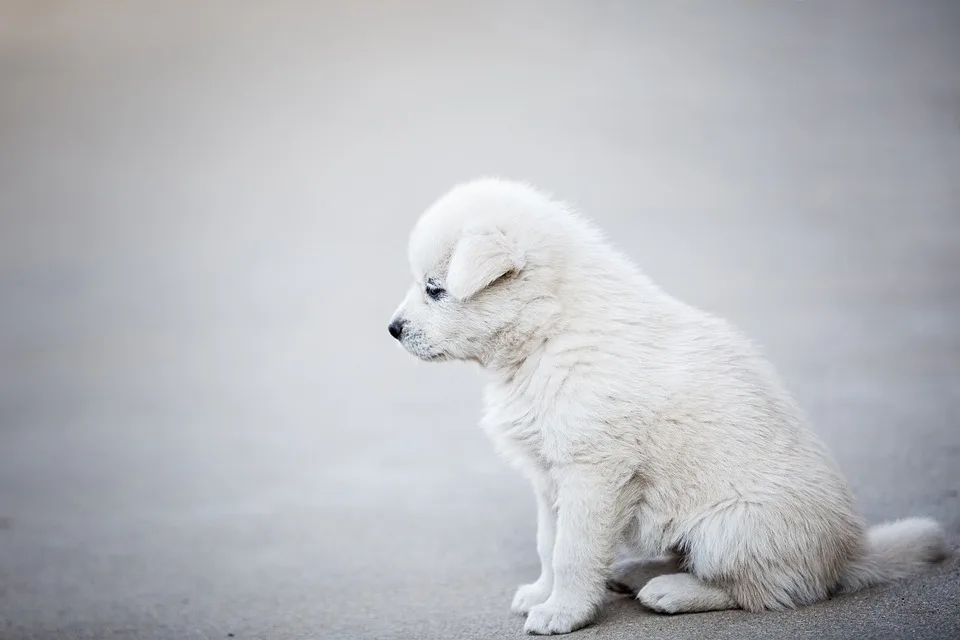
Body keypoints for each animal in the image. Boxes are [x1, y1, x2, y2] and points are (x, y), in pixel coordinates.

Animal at [384, 179, 944, 636]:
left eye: (435, 289)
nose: (392, 329)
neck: (549, 333)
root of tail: (849, 556)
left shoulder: (593, 472)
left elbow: (573, 551)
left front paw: (562, 612)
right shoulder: (549, 475)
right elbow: (548, 541)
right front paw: (542, 594)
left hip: (730, 527)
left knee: (764, 591)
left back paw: (671, 592)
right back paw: (636, 572)